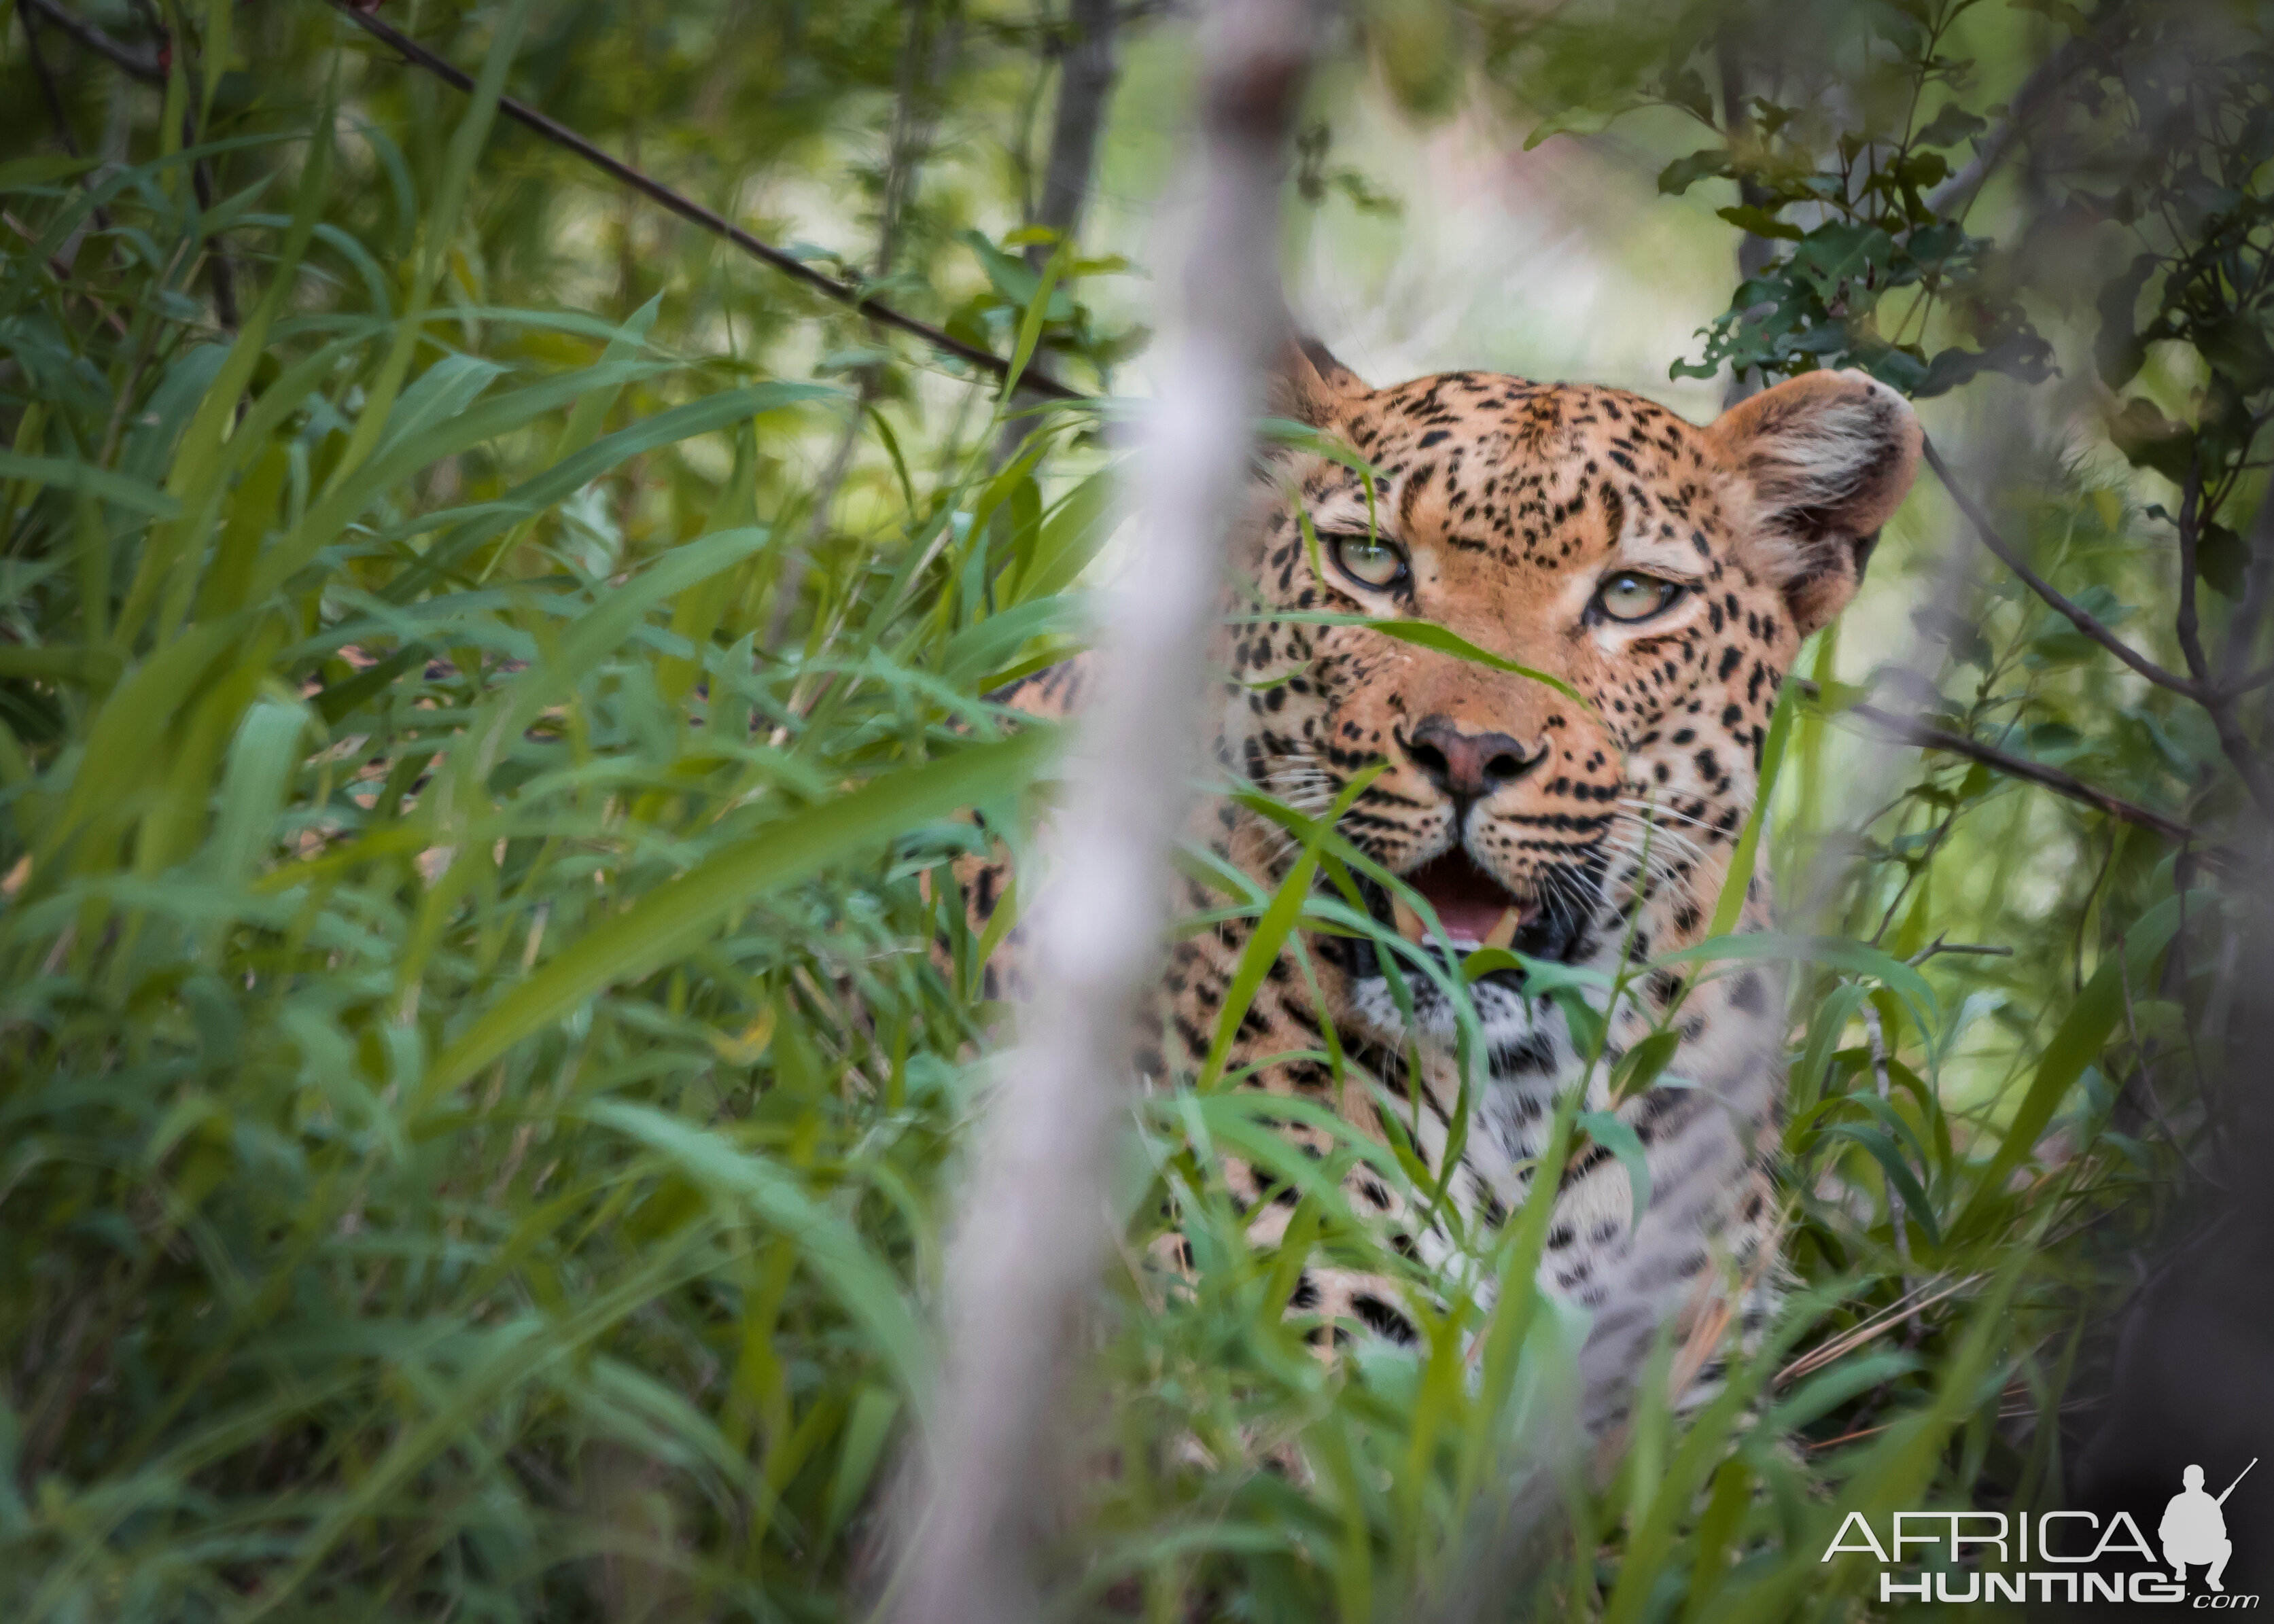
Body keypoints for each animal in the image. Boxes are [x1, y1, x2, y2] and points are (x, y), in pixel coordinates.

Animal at [964, 338, 1919, 1428]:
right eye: (1371, 562)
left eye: (1632, 595)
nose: (1466, 751)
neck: (1523, 1095)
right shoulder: (1282, 1352)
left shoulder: (1698, 1401)